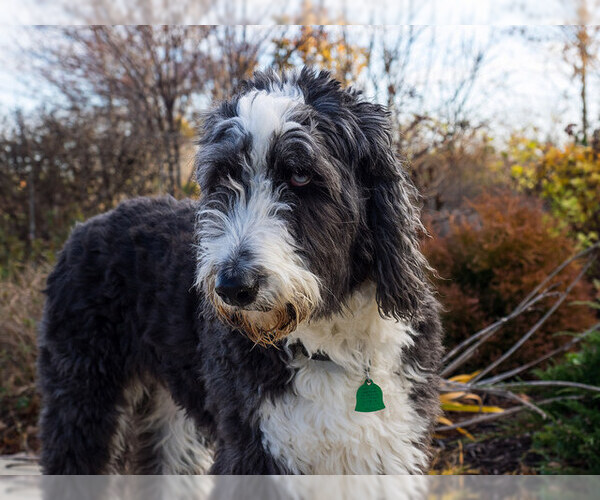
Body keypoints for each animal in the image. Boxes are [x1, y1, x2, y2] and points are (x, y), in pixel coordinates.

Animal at [36, 68, 440, 474]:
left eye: (300, 176)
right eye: (222, 176)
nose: (232, 286)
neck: (333, 346)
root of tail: (86, 225)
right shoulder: (252, 447)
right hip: (82, 392)